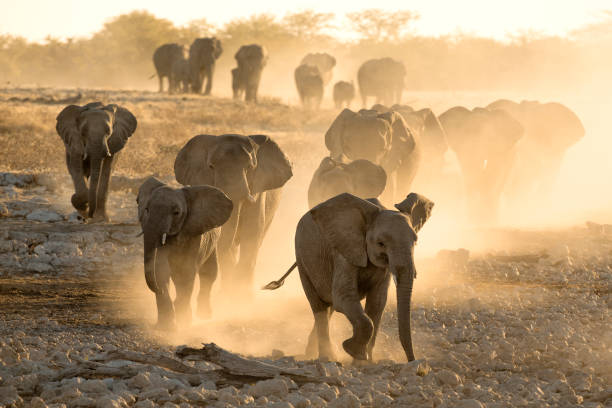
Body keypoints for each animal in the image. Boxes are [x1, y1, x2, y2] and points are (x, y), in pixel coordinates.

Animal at [137, 177, 233, 330]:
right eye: (147, 209)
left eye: (176, 213)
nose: (158, 289)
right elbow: (160, 269)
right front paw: (166, 327)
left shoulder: (194, 233)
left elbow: (186, 272)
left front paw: (184, 321)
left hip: (212, 240)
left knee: (209, 272)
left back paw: (204, 315)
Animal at [175, 134, 294, 296]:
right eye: (211, 166)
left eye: (250, 167)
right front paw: (230, 293)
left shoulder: (258, 192)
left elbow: (252, 233)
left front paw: (241, 296)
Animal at [266, 191, 432, 360]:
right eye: (380, 244)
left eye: (415, 242)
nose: (412, 360)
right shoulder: (344, 250)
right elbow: (344, 296)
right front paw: (353, 351)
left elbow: (377, 302)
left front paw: (365, 360)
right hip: (302, 259)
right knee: (319, 307)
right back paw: (327, 357)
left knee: (330, 307)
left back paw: (312, 354)